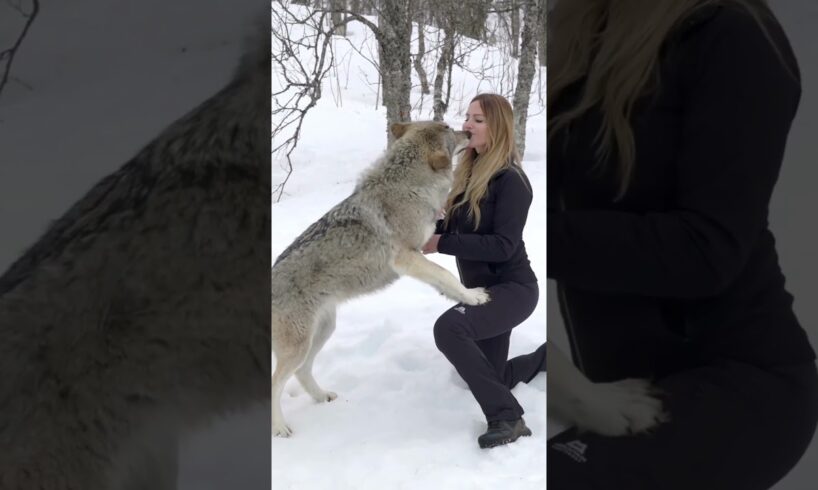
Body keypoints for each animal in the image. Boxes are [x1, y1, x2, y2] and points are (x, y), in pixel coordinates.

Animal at [270, 121, 484, 436]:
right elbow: (446, 273)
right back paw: (280, 428)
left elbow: (443, 279)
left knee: (303, 371)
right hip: (300, 345)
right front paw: (476, 297)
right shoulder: (406, 258)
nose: (468, 132)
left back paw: (322, 397)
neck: (408, 186)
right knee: (276, 383)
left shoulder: (417, 255)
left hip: (323, 331)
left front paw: (460, 297)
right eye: (449, 128)